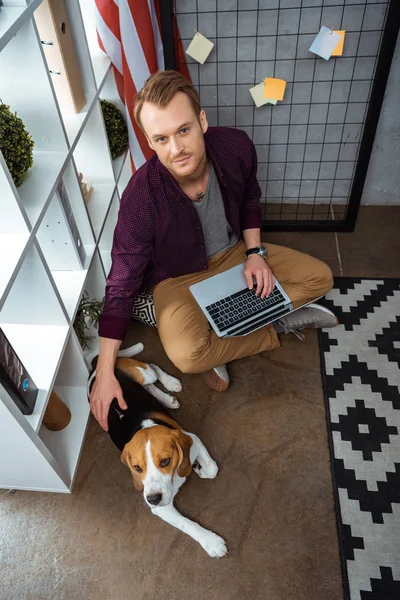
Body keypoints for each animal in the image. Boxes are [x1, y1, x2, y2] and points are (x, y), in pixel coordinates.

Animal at [89, 344, 228, 560]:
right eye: (137, 468)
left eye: (165, 461)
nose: (152, 499)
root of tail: (96, 367)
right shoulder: (161, 509)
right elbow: (187, 524)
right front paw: (211, 542)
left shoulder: (193, 438)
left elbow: (212, 468)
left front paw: (198, 468)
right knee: (149, 384)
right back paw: (167, 398)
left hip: (145, 373)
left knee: (153, 368)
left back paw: (170, 385)